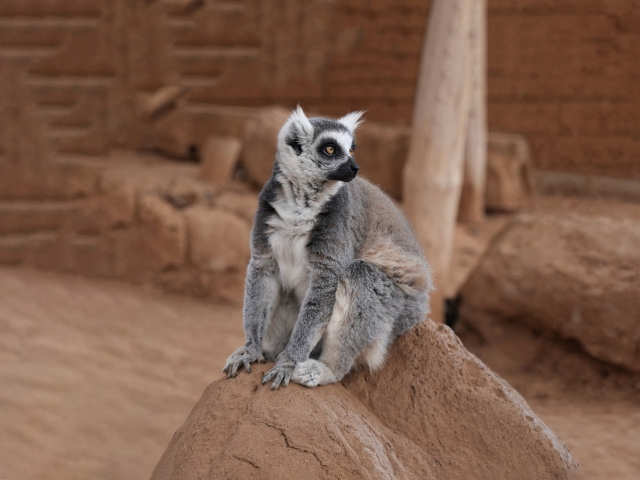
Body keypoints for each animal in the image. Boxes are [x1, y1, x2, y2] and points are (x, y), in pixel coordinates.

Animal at [223, 107, 433, 389]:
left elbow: (326, 285)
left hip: (400, 311)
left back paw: (328, 369)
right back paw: (270, 350)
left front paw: (288, 362)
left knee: (360, 276)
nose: (355, 167)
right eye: (331, 149)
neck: (301, 202)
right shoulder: (266, 218)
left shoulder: (338, 223)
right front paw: (251, 349)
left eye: (352, 149)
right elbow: (262, 272)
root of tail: (422, 304)